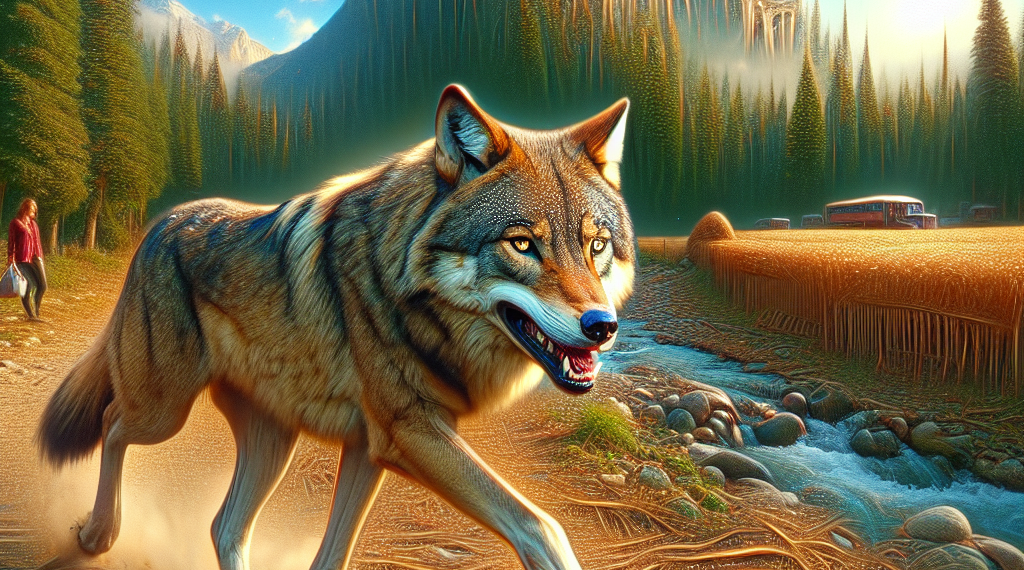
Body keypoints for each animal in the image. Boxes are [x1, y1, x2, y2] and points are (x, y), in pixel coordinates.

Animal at [38, 84, 634, 570]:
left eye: (597, 245)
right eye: (522, 244)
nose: (602, 326)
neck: (401, 283)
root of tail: (163, 223)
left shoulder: (370, 450)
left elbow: (332, 555)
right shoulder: (410, 430)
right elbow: (542, 526)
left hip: (272, 443)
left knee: (224, 526)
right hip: (163, 411)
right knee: (112, 423)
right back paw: (97, 534)